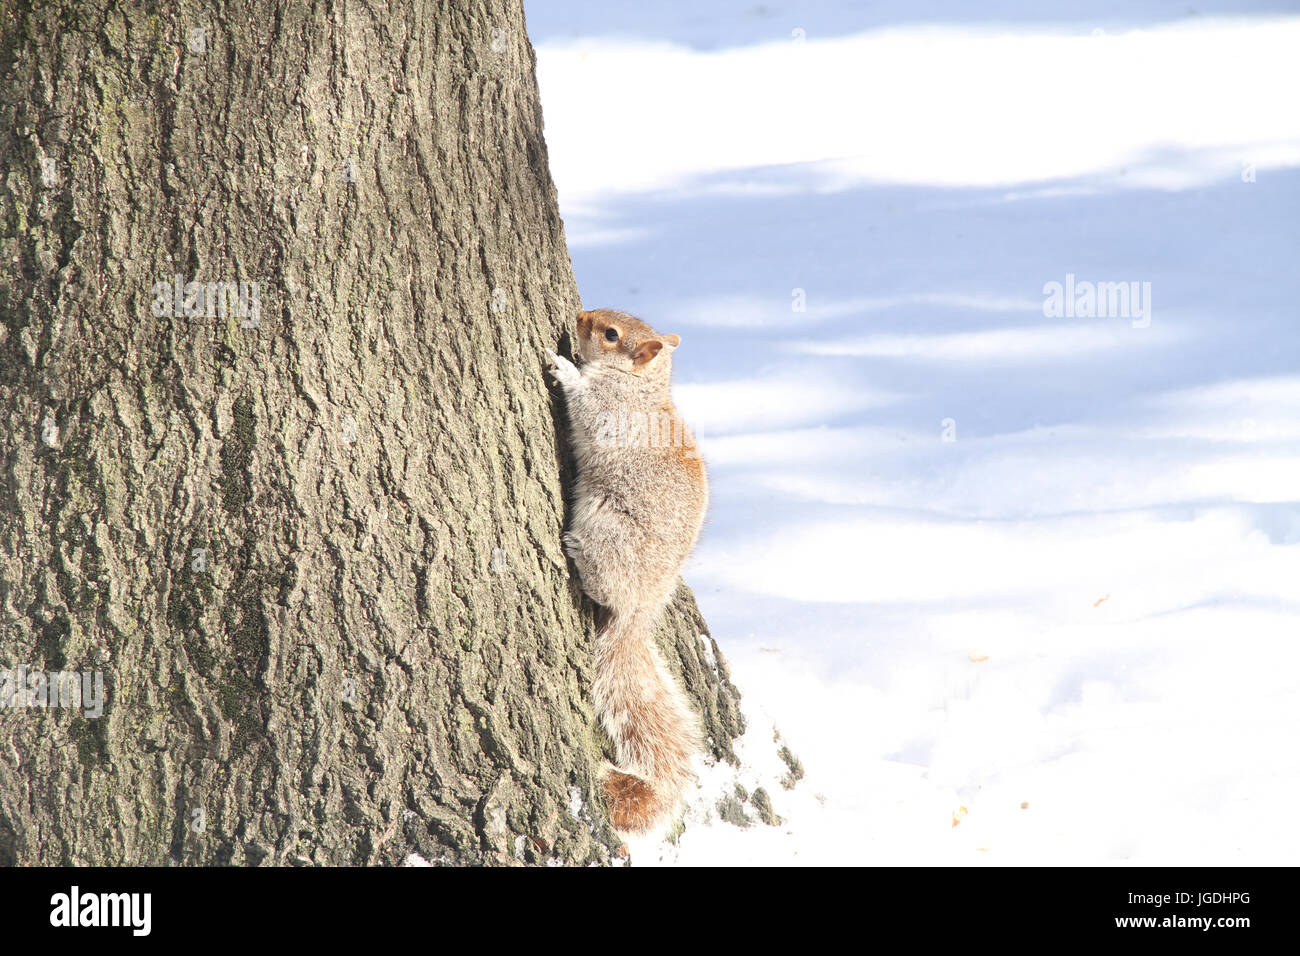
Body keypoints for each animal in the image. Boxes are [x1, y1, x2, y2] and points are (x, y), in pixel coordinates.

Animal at [548, 310, 712, 832]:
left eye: (610, 334)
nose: (580, 316)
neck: (641, 384)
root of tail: (640, 609)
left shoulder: (609, 405)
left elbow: (585, 399)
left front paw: (565, 368)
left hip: (607, 529)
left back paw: (576, 554)